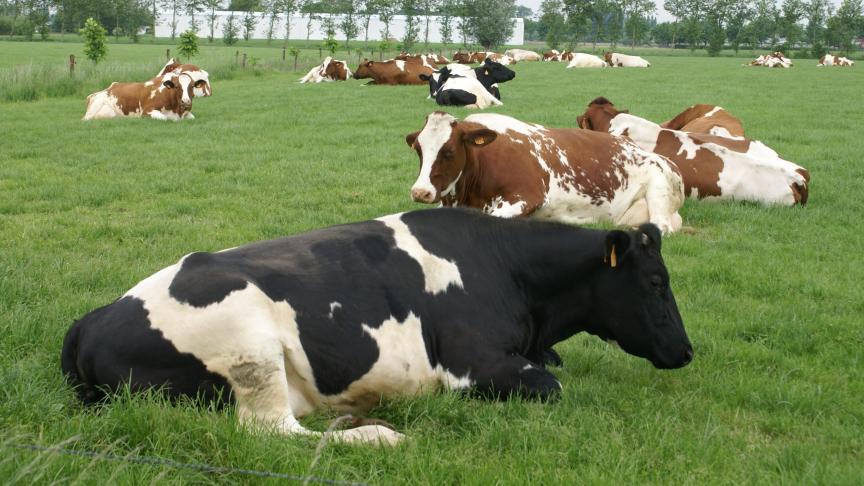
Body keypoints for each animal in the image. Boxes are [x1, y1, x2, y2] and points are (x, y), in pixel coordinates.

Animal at [61, 208, 693, 446]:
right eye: (656, 281)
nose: (686, 352)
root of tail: (92, 320)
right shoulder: (473, 367)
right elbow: (551, 384)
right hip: (251, 350)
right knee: (277, 432)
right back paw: (379, 433)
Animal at [405, 112, 685, 233]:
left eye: (449, 151)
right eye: (418, 149)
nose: (420, 192)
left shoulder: (526, 195)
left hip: (659, 187)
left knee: (661, 226)